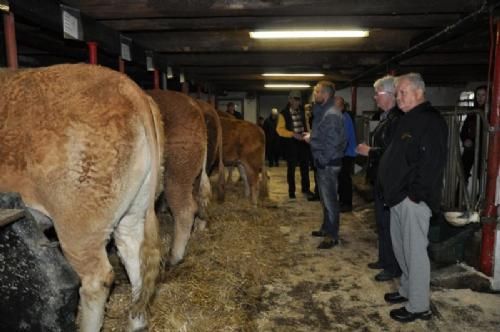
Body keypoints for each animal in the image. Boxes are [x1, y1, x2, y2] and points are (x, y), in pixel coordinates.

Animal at [146, 89, 210, 266]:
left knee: (185, 210)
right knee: (201, 199)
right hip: (194, 173)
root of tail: (193, 105)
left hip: (177, 172)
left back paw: (174, 257)